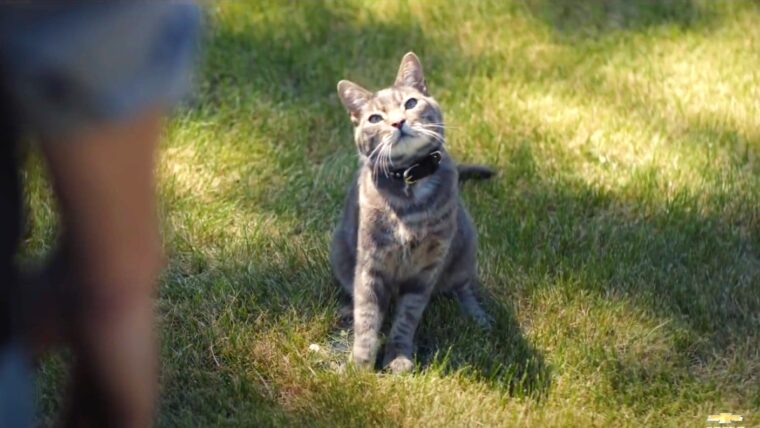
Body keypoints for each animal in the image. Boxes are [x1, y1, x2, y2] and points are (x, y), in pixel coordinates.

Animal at [332, 51, 492, 372]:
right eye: (375, 118)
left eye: (410, 103)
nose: (398, 122)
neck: (409, 184)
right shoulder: (370, 262)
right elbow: (367, 317)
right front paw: (360, 365)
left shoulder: (426, 268)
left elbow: (407, 316)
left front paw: (398, 357)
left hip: (466, 244)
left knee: (463, 286)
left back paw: (477, 315)